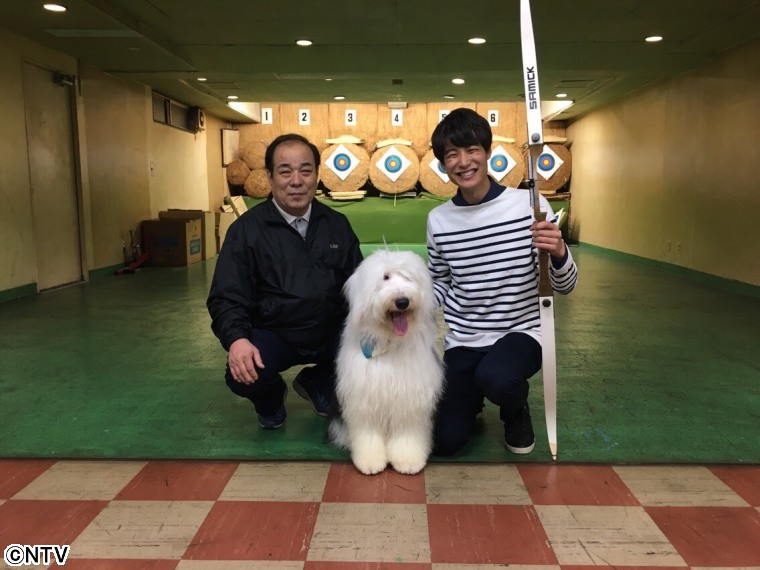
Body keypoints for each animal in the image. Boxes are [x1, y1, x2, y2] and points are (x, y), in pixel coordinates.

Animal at [329, 249, 444, 475]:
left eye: (408, 277)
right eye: (385, 277)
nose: (402, 301)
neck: (389, 344)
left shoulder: (410, 399)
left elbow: (407, 433)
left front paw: (408, 461)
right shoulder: (364, 399)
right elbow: (368, 434)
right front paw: (370, 462)